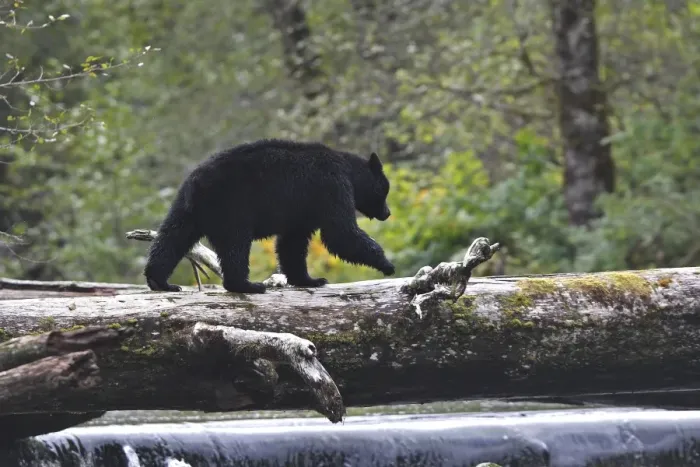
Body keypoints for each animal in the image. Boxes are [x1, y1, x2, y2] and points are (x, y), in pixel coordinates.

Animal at [144, 138, 395, 294]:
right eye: (385, 190)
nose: (387, 213)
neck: (349, 172)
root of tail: (197, 183)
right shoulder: (330, 188)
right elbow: (340, 233)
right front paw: (386, 263)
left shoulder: (302, 209)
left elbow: (292, 243)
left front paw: (310, 279)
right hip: (232, 207)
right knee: (235, 246)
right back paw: (246, 285)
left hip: (187, 209)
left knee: (172, 237)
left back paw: (159, 281)